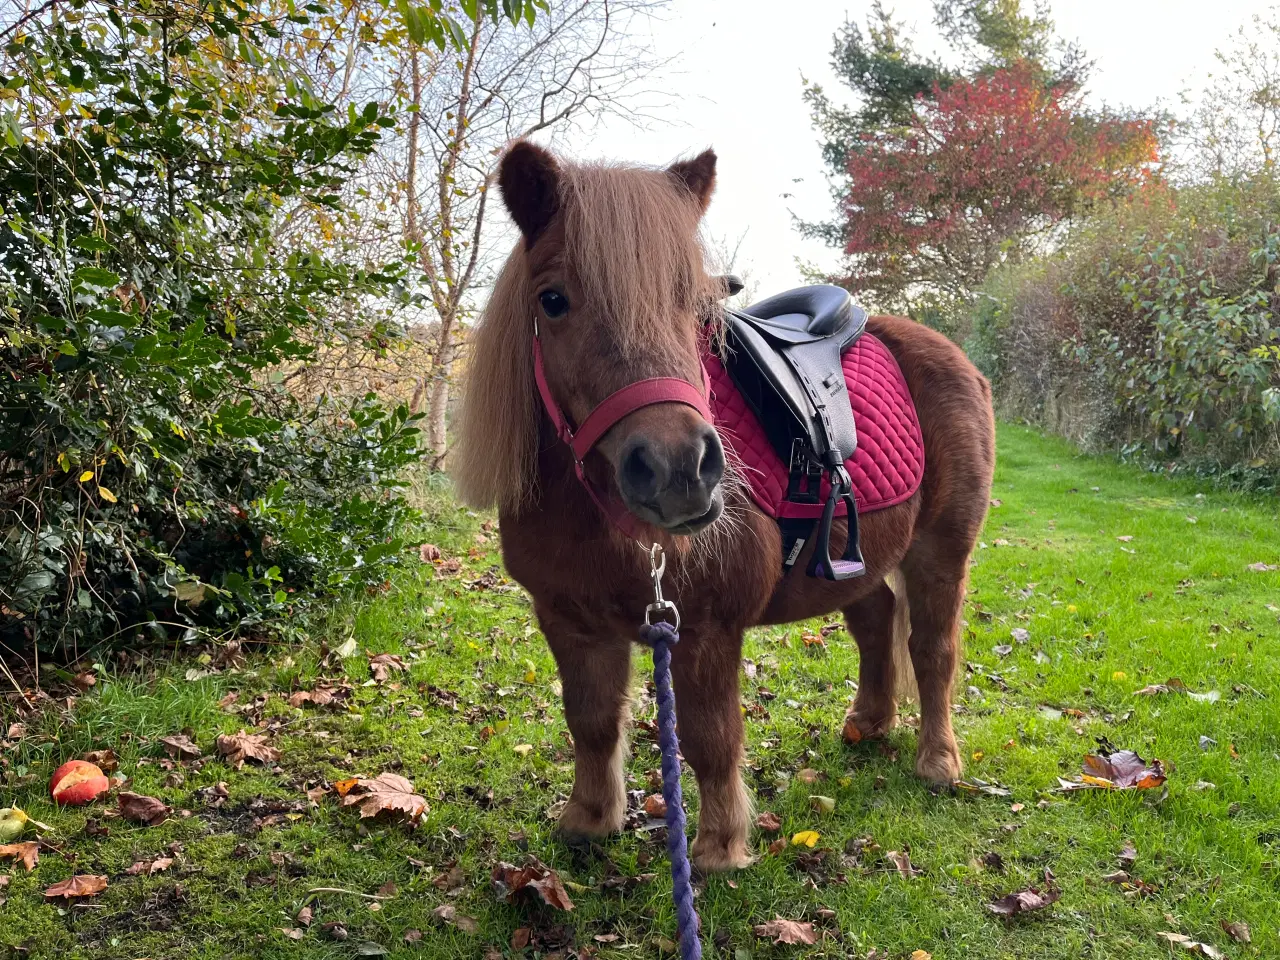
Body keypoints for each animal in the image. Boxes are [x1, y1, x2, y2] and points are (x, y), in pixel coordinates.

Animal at [453, 140, 998, 870]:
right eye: (553, 299)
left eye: (695, 305)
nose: (680, 469)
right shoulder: (569, 620)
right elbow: (591, 722)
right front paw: (589, 820)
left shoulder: (707, 630)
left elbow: (710, 738)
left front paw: (718, 848)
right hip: (856, 560)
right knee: (876, 619)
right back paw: (868, 723)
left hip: (941, 550)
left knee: (933, 648)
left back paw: (937, 761)